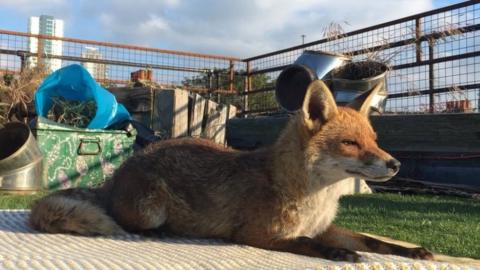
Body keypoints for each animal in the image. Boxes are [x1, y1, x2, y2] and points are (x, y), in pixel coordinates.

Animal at [30, 79, 436, 262]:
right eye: (350, 144)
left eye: (375, 140)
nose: (395, 164)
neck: (314, 198)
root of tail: (113, 178)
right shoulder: (258, 234)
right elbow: (308, 244)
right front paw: (338, 255)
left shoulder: (325, 226)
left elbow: (374, 240)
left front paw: (415, 250)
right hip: (149, 211)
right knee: (128, 222)